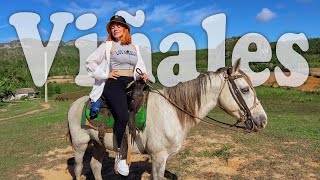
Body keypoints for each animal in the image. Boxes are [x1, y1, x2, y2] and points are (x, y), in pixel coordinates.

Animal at [67, 59, 268, 179]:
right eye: (245, 90)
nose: (263, 120)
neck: (172, 112)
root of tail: (74, 105)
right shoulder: (158, 157)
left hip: (99, 143)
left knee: (95, 166)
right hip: (80, 145)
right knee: (79, 167)